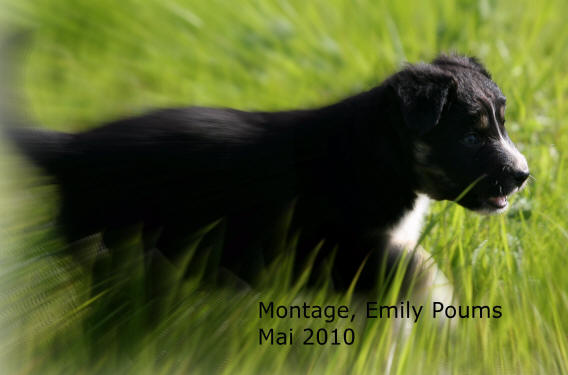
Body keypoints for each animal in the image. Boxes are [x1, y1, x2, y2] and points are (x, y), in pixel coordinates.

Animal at [4, 55, 528, 290]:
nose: (524, 175)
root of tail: (71, 147)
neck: (383, 157)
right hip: (110, 235)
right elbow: (418, 271)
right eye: (471, 137)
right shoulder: (348, 246)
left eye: (502, 122)